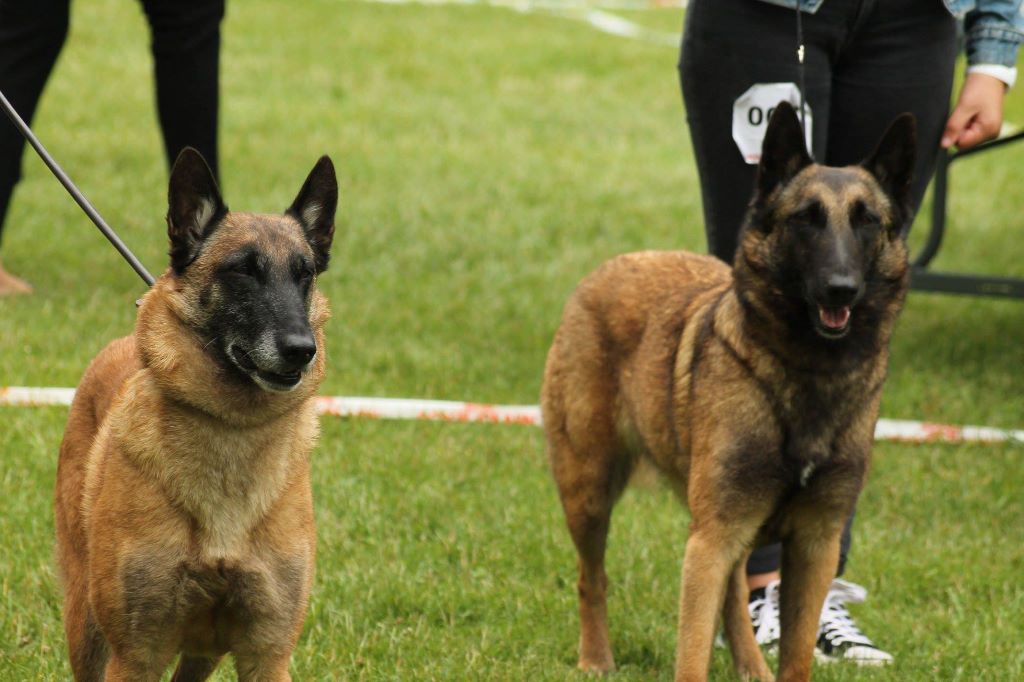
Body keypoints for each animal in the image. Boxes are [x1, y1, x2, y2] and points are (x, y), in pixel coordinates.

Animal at [540, 100, 917, 679]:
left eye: (867, 221)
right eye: (804, 219)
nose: (841, 289)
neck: (806, 374)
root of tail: (612, 265)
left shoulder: (814, 544)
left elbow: (795, 656)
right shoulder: (711, 538)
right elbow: (692, 653)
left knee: (734, 596)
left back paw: (751, 668)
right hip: (589, 491)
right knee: (592, 578)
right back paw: (596, 659)